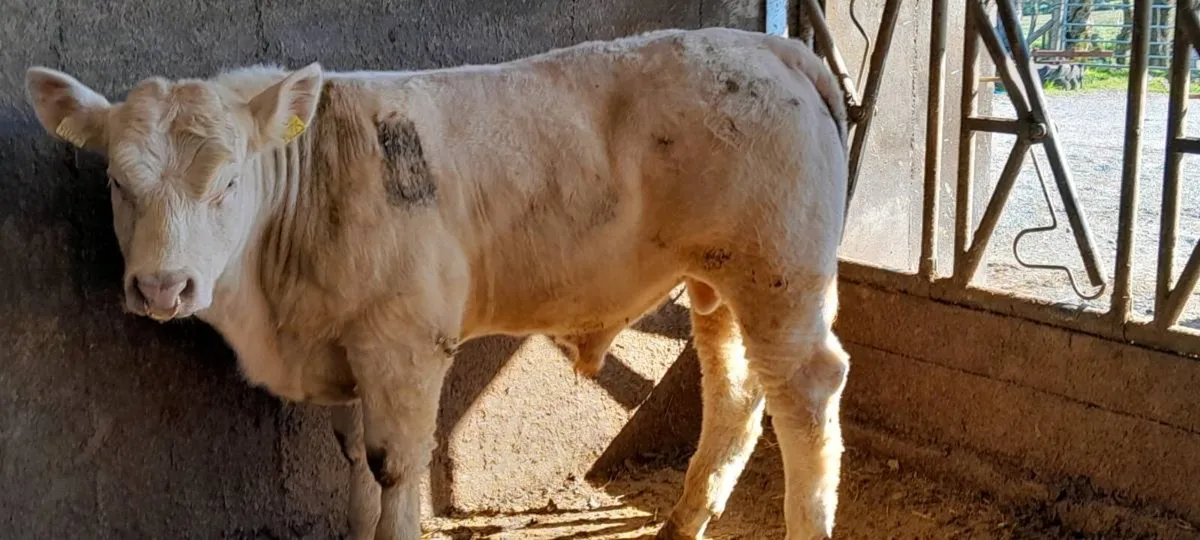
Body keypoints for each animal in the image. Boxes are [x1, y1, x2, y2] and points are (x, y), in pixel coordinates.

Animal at [25, 27, 850, 540]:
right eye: (117, 183)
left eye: (227, 182)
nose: (163, 288)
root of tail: (769, 43)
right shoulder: (344, 346)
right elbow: (356, 466)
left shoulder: (406, 342)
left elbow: (397, 468)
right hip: (718, 280)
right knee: (735, 391)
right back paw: (683, 519)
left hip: (779, 273)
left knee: (805, 392)